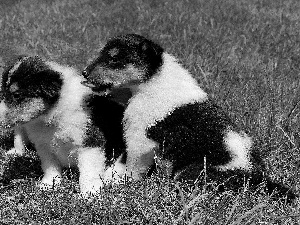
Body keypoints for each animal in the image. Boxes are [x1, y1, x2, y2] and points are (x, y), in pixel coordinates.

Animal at [0, 55, 126, 195]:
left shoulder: (90, 143)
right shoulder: (44, 146)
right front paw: (48, 184)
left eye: (17, 95)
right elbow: (50, 166)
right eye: (3, 93)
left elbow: (88, 170)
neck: (55, 115)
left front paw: (90, 192)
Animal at [82, 33, 298, 199]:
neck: (153, 79)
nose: (84, 73)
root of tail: (257, 177)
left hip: (192, 172)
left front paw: (113, 181)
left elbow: (131, 166)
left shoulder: (141, 140)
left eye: (114, 58)